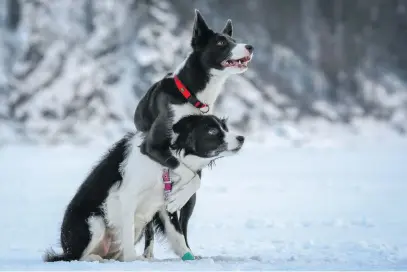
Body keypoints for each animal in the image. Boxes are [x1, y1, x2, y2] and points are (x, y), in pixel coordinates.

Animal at [43, 113, 245, 262]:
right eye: (212, 130)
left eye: (225, 128)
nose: (241, 137)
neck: (163, 163)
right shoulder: (127, 197)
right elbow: (128, 229)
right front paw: (134, 259)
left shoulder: (165, 204)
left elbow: (177, 234)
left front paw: (189, 256)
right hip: (94, 221)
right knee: (77, 256)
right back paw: (97, 259)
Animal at [134, 9, 253, 260]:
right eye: (221, 42)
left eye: (234, 40)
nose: (250, 46)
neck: (191, 95)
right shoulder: (152, 147)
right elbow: (184, 170)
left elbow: (195, 179)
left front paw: (176, 198)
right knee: (149, 226)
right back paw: (148, 253)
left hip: (191, 203)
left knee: (183, 223)